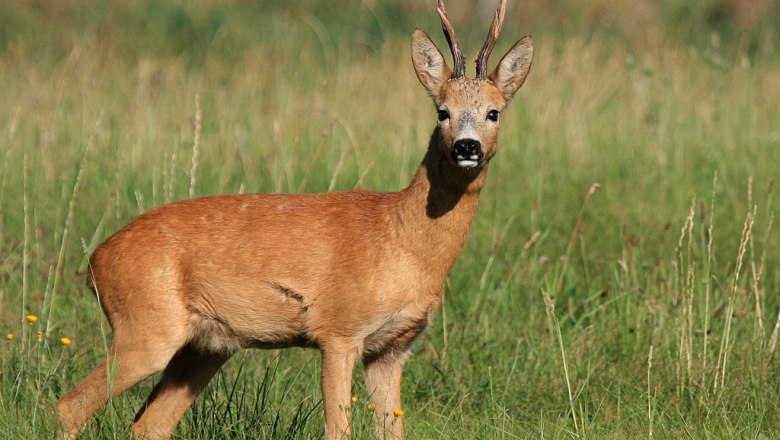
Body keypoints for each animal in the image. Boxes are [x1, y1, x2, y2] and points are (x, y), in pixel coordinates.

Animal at [54, 0, 532, 438]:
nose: (466, 147)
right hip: (145, 327)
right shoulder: (338, 330)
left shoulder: (393, 348)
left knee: (149, 423)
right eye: (441, 110)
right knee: (70, 405)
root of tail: (94, 262)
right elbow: (338, 430)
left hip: (207, 345)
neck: (401, 238)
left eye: (494, 112)